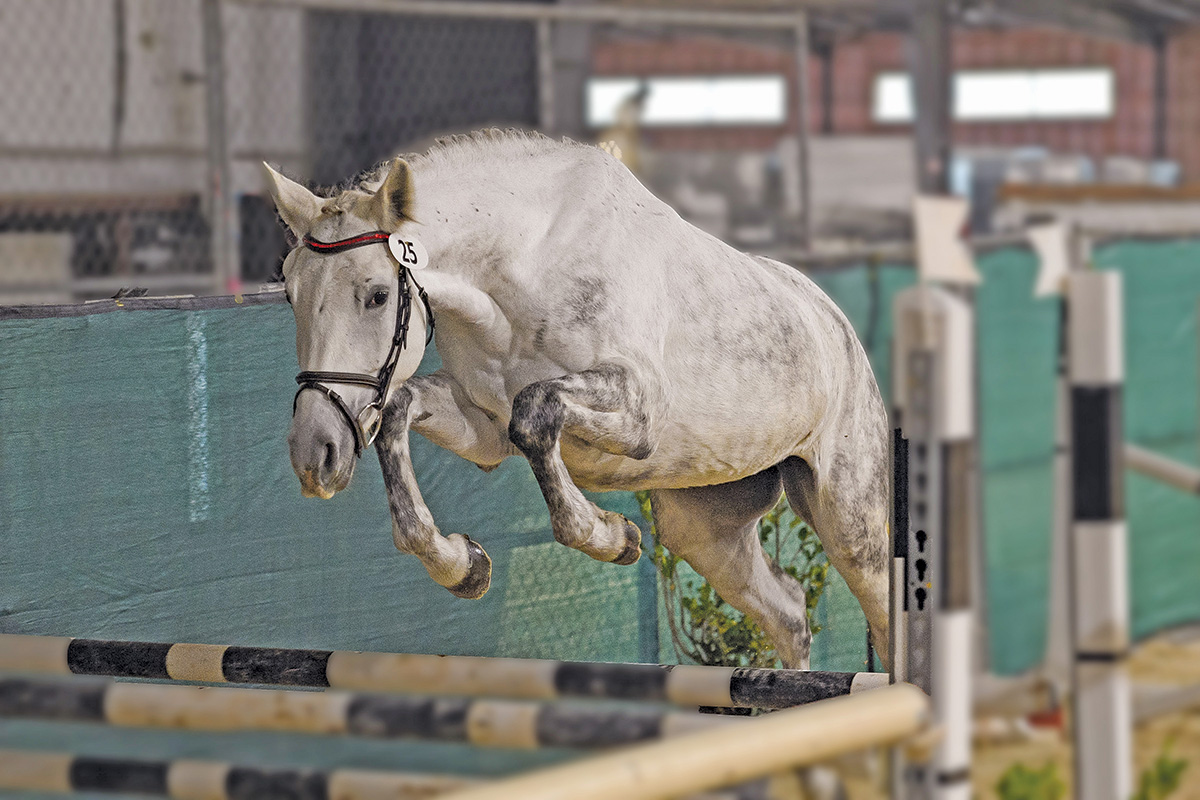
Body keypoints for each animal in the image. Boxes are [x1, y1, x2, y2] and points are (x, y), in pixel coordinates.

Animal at [267, 131, 897, 671]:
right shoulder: (483, 426)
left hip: (849, 520)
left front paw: (611, 536)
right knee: (787, 613)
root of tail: (835, 321)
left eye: (376, 296)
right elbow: (404, 411)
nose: (314, 455)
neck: (523, 268)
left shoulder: (639, 413)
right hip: (705, 529)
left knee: (883, 611)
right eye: (290, 293)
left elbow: (535, 413)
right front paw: (460, 565)